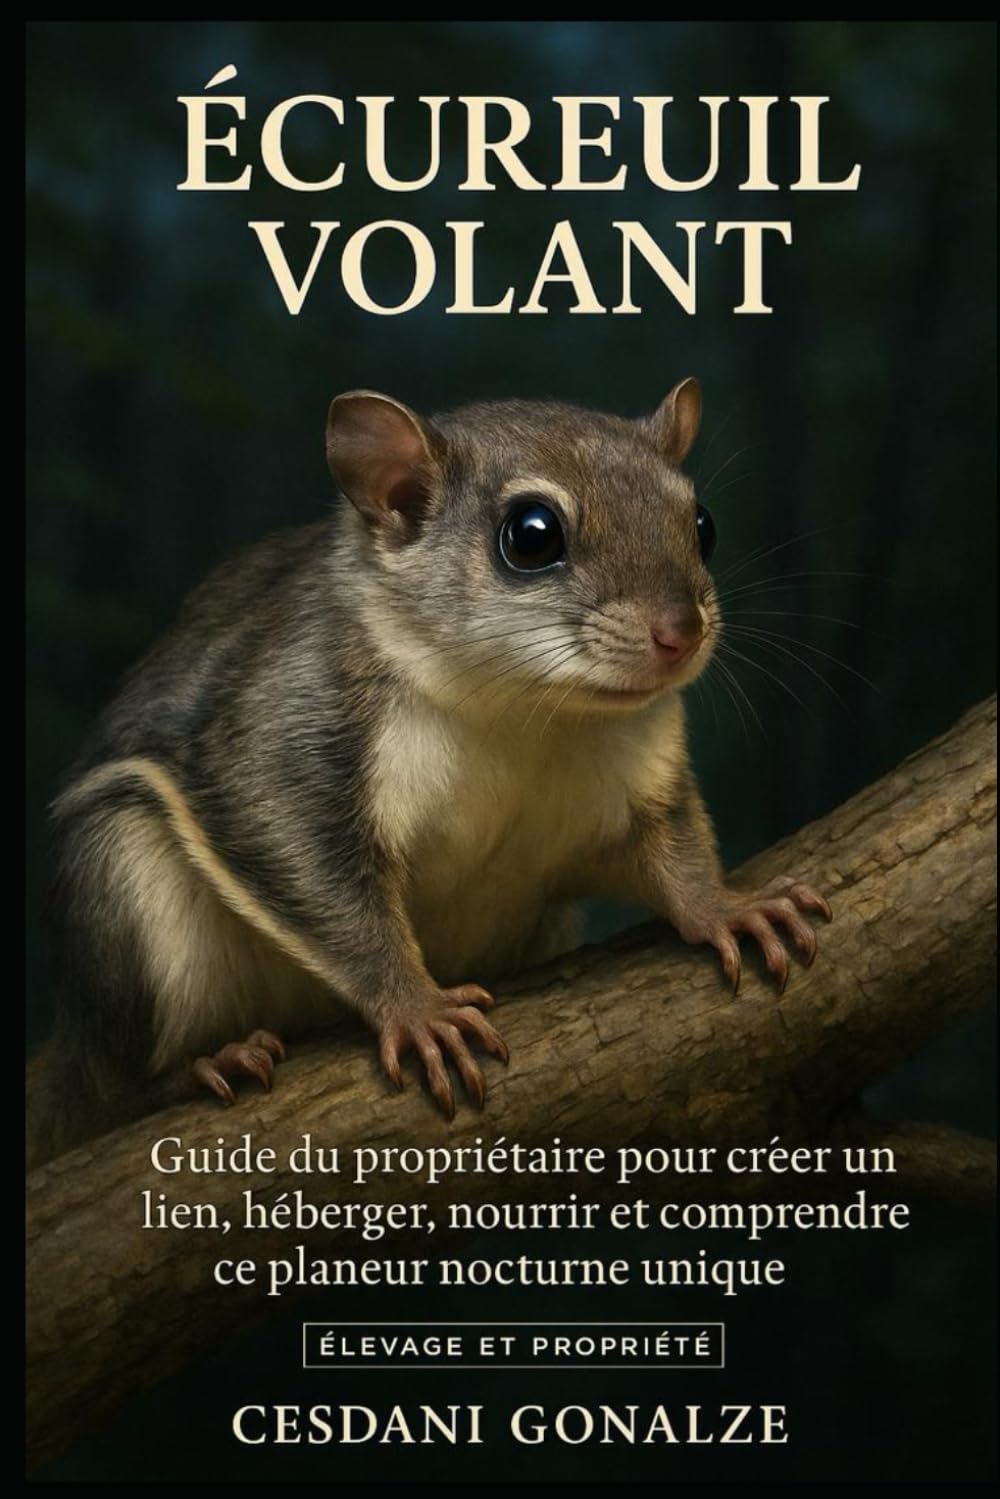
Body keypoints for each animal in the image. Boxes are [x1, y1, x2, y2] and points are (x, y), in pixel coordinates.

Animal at [29, 379, 830, 1164]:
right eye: (532, 536)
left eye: (702, 523)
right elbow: (318, 875)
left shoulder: (641, 775)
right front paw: (416, 1007)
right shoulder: (289, 731)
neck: (523, 712)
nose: (681, 632)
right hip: (124, 898)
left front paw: (726, 906)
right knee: (120, 1083)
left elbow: (670, 849)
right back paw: (196, 1067)